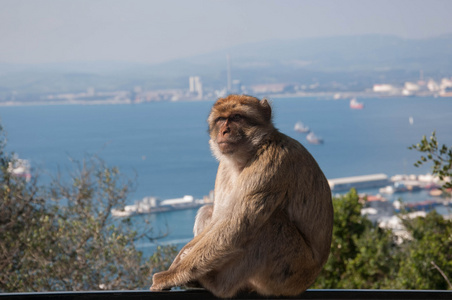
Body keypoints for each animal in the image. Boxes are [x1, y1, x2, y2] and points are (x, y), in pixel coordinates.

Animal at [151, 95, 332, 298]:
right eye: (221, 119)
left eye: (236, 117)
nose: (224, 131)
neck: (249, 154)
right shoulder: (223, 167)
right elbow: (220, 218)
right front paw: (178, 261)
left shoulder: (272, 162)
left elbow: (235, 225)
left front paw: (172, 275)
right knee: (210, 211)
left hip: (290, 273)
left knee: (268, 226)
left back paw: (216, 284)